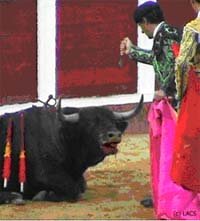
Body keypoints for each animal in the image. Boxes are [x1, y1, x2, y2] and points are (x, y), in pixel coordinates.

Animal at [0, 95, 144, 204]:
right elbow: (73, 190)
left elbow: (82, 186)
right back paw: (14, 197)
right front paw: (43, 195)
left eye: (113, 122)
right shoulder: (47, 174)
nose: (114, 134)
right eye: (91, 123)